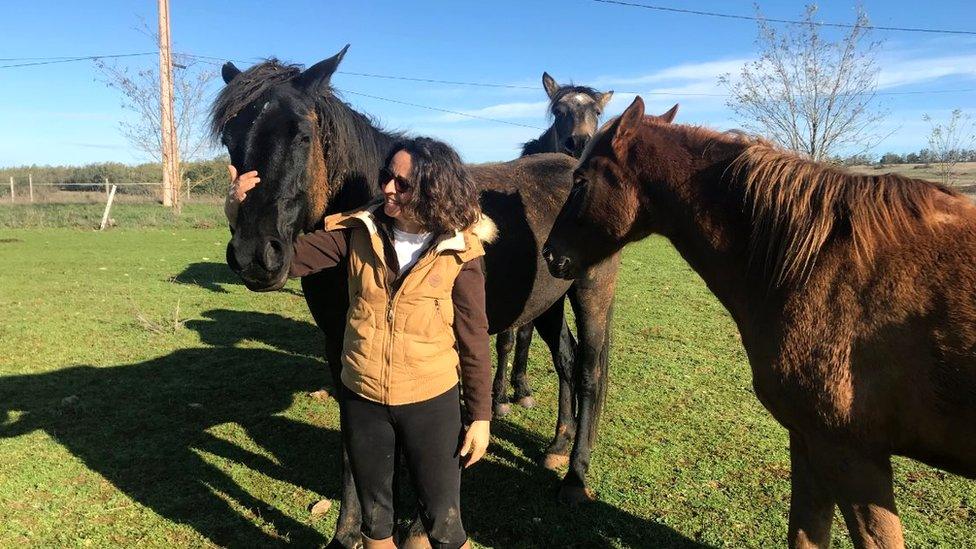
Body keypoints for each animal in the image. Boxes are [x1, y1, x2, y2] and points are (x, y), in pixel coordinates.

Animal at [492, 71, 612, 416]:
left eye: (597, 112)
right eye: (559, 111)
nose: (580, 144)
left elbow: (525, 335)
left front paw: (521, 387)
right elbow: (507, 338)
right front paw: (501, 397)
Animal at [548, 96, 976, 544]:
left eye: (580, 181)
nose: (549, 253)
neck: (817, 263)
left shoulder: (852, 454)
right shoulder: (808, 440)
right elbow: (804, 535)